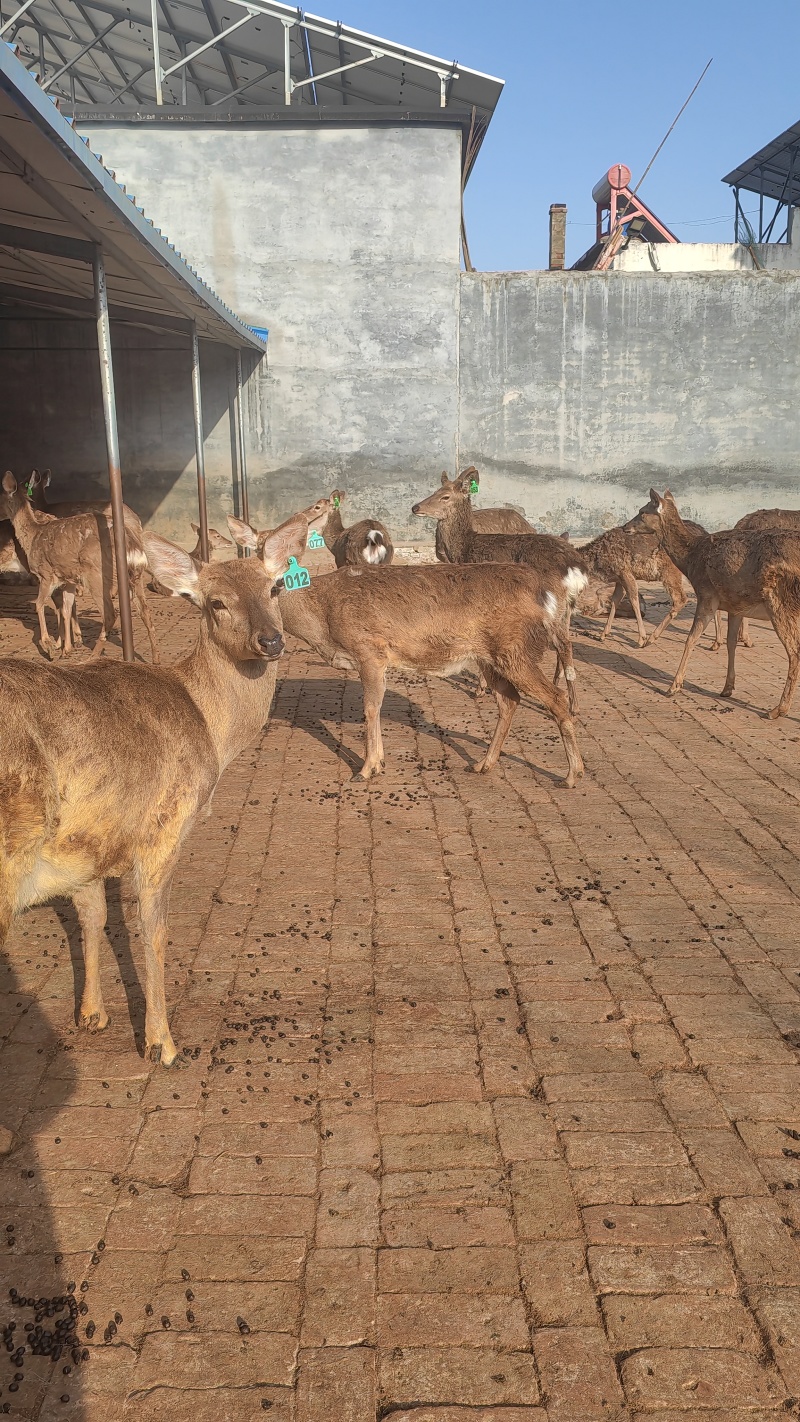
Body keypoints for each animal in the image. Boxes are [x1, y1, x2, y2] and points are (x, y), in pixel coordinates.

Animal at [0, 473, 158, 661]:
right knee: (146, 613)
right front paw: (66, 648)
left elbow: (40, 604)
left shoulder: (46, 574)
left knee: (110, 614)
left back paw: (91, 657)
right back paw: (155, 660)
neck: (32, 536)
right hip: (136, 575)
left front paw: (50, 647)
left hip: (96, 574)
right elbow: (66, 608)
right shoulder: (68, 579)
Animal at [0, 513, 307, 1067]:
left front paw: (91, 1015)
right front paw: (161, 1041)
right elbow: (155, 930)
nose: (272, 641)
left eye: (273, 587)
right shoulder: (162, 827)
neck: (210, 729)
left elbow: (94, 916)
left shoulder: (88, 840)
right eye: (215, 602)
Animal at [227, 514, 584, 788]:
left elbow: (371, 708)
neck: (321, 617)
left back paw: (571, 775)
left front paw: (367, 768)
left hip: (516, 649)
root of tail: (545, 595)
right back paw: (483, 764)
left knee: (555, 698)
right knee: (510, 699)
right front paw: (379, 763)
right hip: (489, 656)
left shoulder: (370, 650)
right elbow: (375, 707)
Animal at [634, 488, 800, 718]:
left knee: (794, 652)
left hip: (780, 605)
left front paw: (673, 687)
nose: (626, 526)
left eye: (642, 511)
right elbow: (731, 643)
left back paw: (778, 709)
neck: (691, 559)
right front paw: (727, 688)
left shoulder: (707, 594)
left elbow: (691, 639)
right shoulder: (735, 605)